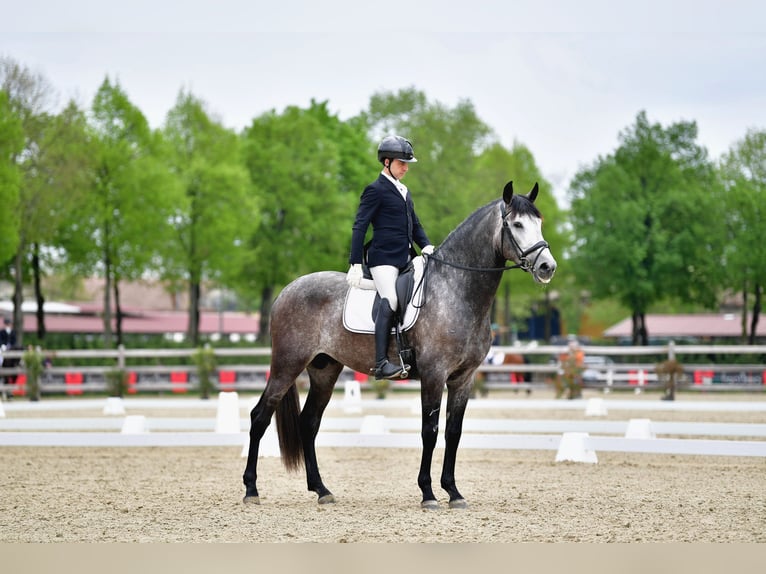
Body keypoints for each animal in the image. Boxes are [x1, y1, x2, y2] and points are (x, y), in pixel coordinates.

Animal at [242, 181, 557, 509]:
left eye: (539, 222)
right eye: (517, 224)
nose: (547, 267)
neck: (456, 289)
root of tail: (286, 290)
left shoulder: (463, 378)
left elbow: (453, 432)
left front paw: (454, 492)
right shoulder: (434, 374)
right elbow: (429, 431)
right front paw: (428, 494)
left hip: (324, 370)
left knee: (309, 422)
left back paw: (321, 490)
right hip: (287, 365)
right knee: (260, 417)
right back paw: (251, 490)